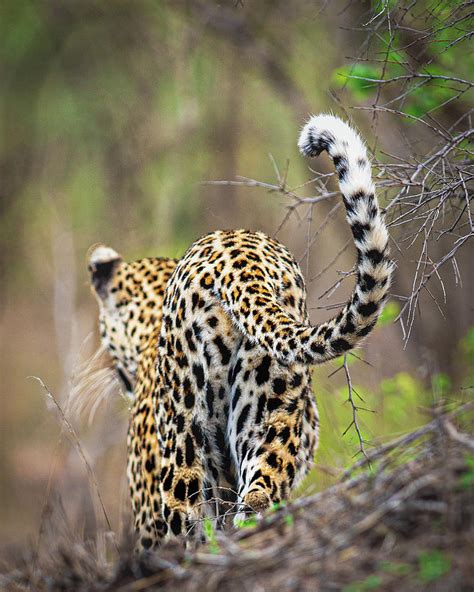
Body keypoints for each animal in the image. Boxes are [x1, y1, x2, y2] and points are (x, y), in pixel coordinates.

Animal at [88, 114, 392, 552]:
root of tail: (241, 261)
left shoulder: (149, 519)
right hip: (270, 410)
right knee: (259, 497)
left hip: (186, 445)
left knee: (192, 524)